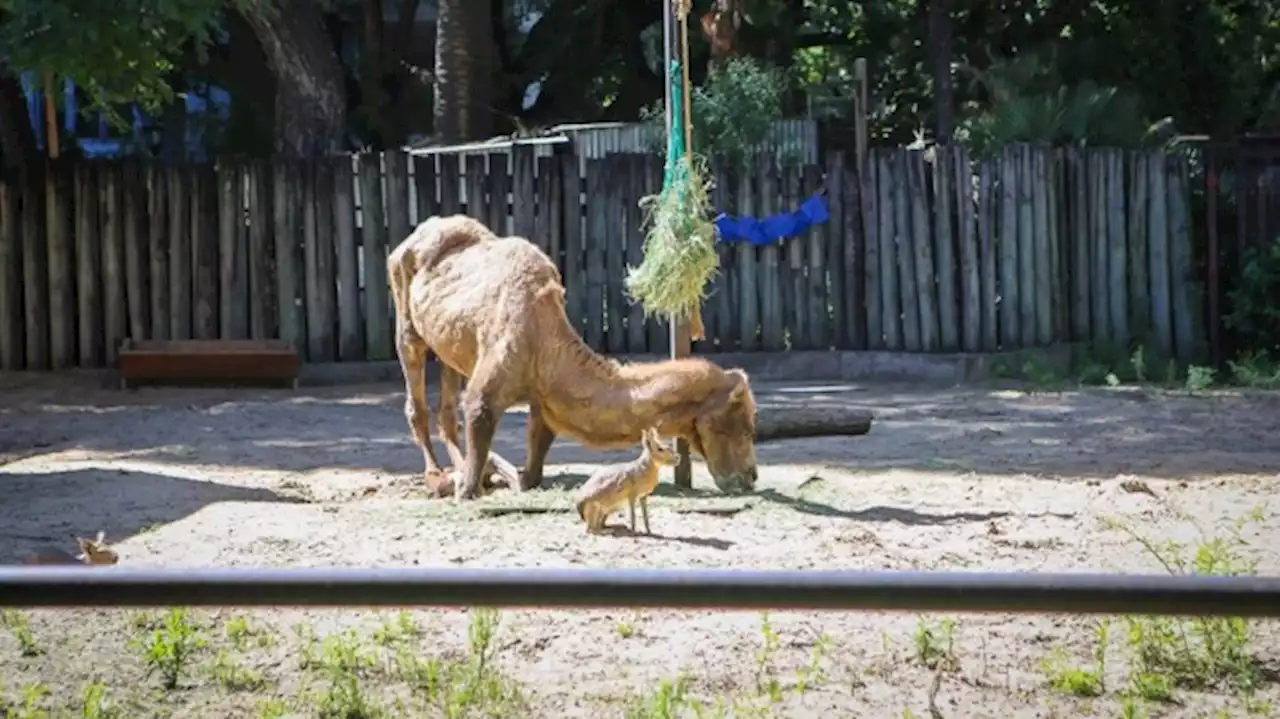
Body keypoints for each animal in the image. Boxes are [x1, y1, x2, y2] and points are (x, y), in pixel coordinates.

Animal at [384, 212, 752, 498]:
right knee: (415, 392)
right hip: (405, 313)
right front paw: (467, 484)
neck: (543, 339)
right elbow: (478, 418)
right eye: (741, 426)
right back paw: (436, 476)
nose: (750, 477)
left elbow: (533, 465)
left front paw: (498, 473)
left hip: (450, 345)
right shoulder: (491, 384)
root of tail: (415, 235)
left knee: (447, 408)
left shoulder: (542, 397)